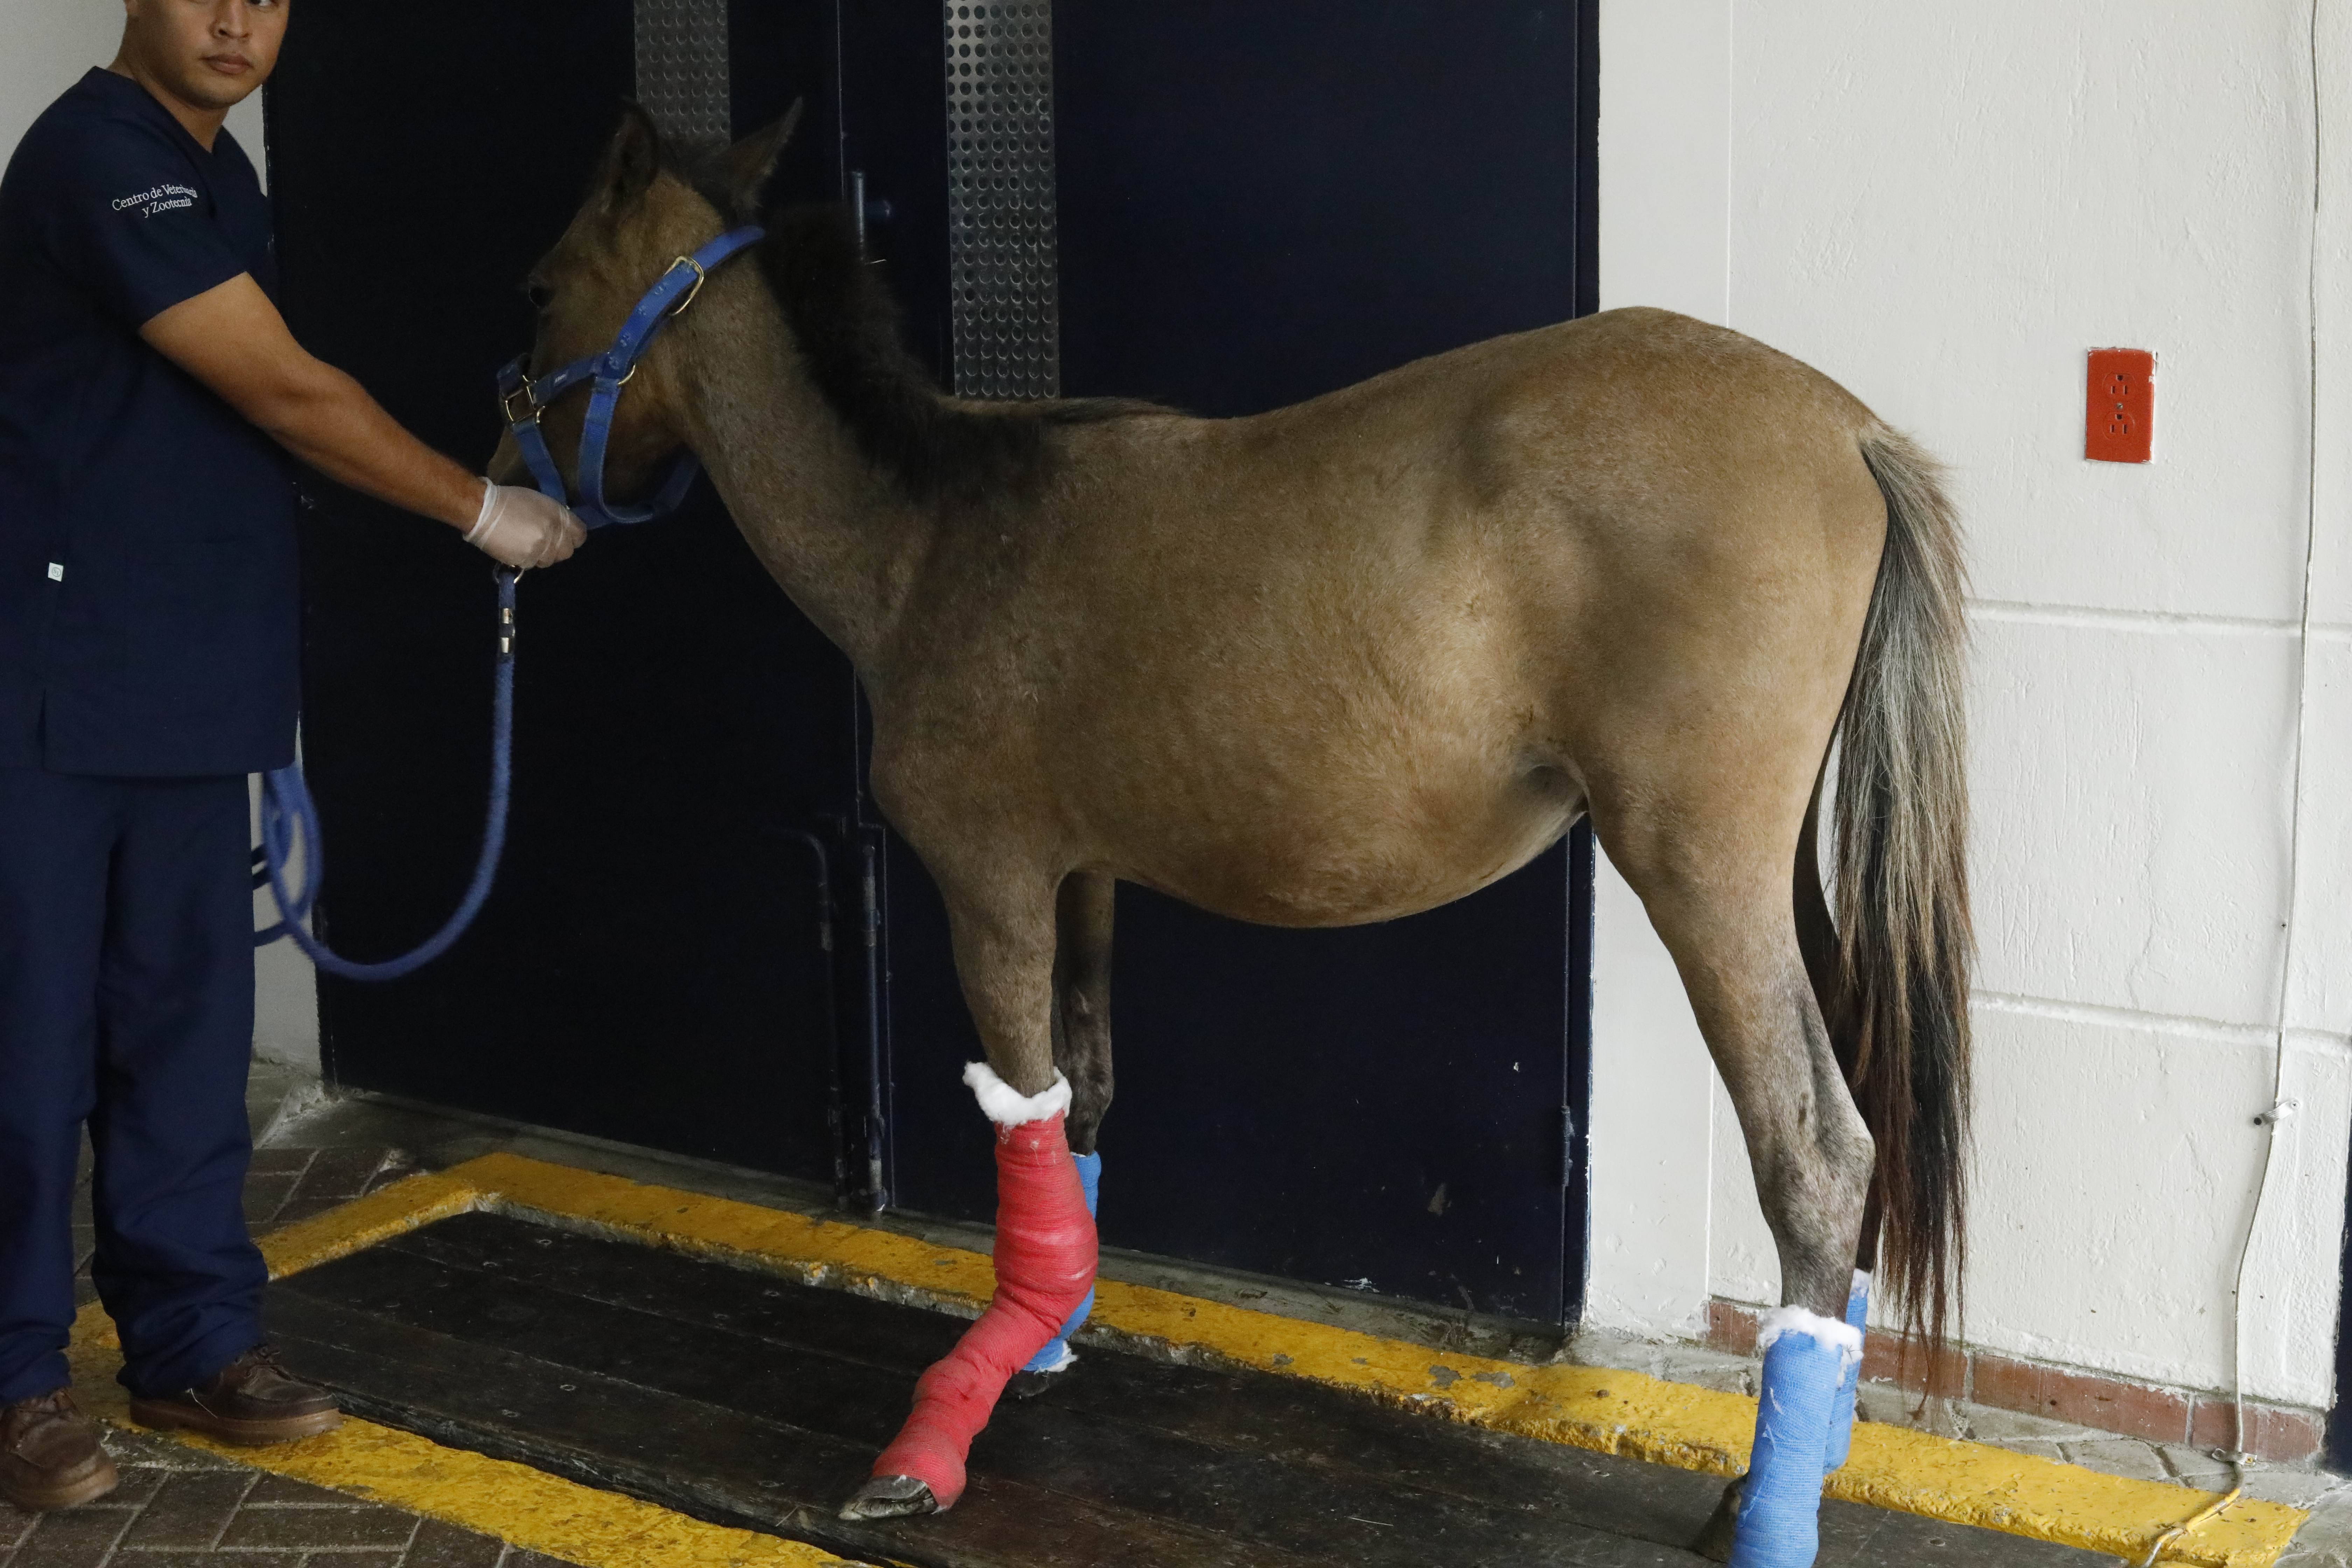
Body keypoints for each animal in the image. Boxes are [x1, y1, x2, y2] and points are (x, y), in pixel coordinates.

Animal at [491, 106, 1972, 1566]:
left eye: (541, 288)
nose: (509, 494)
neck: (930, 537)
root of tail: (1847, 431)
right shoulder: (1082, 876)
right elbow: (1081, 1105)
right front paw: (1048, 1335)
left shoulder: (989, 882)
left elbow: (1021, 1107)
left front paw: (944, 1423)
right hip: (1779, 880)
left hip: (1700, 876)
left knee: (1816, 1154)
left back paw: (1769, 1513)